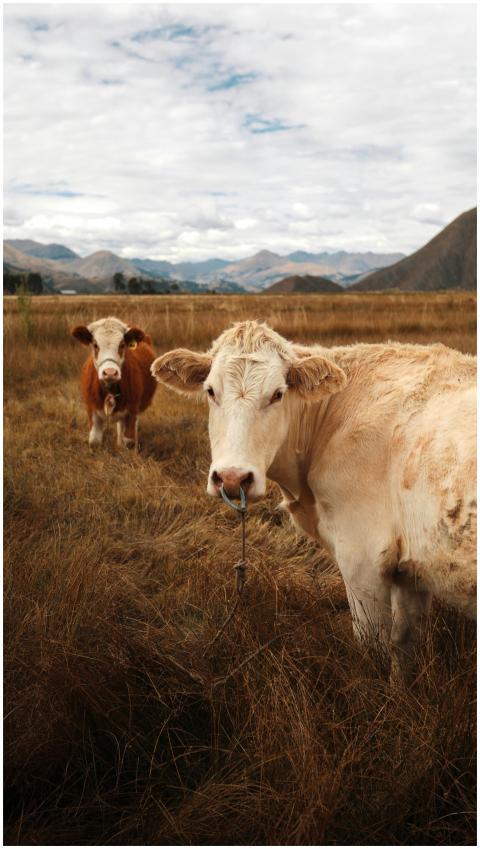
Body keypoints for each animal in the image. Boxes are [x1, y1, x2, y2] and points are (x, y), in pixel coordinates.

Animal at [71, 316, 157, 450]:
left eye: (122, 345)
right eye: (95, 345)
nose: (110, 372)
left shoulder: (132, 410)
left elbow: (129, 441)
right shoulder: (91, 409)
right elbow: (94, 441)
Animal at [151, 320, 476, 681]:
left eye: (277, 394)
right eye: (210, 391)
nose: (233, 478)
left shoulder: (362, 559)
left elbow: (373, 651)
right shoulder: (411, 570)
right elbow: (404, 649)